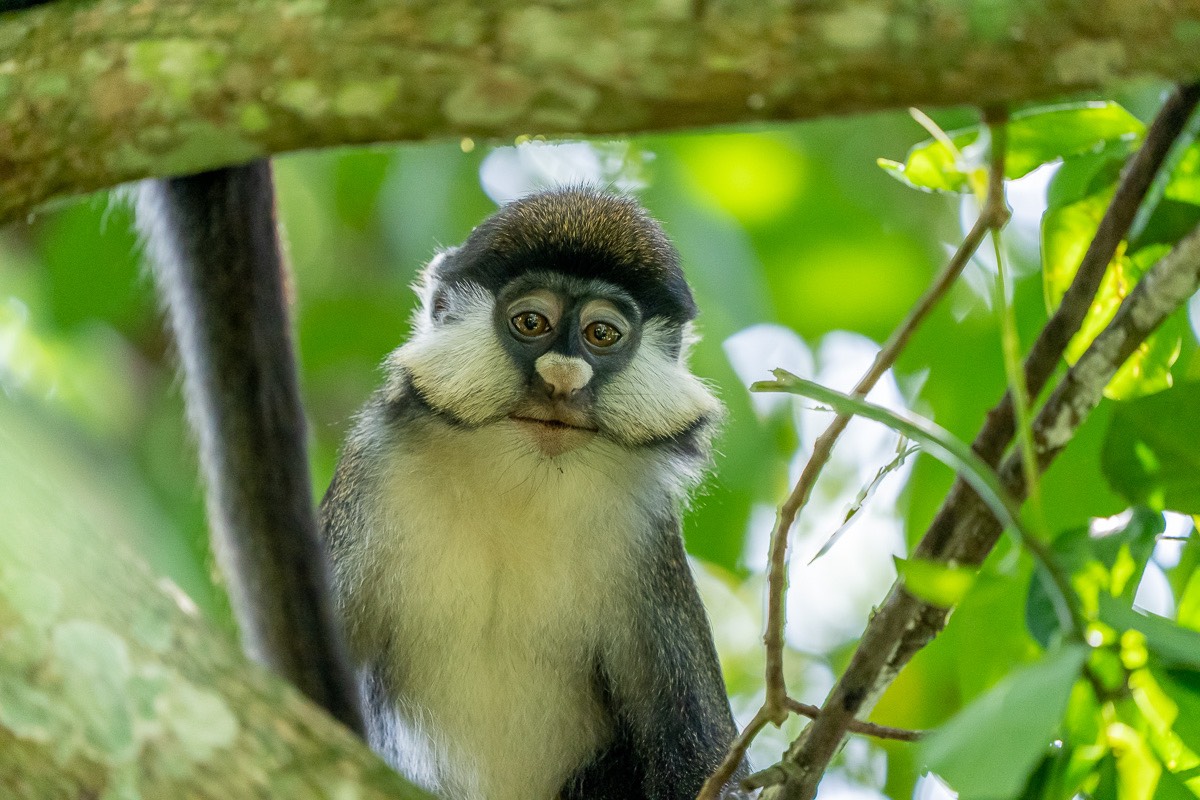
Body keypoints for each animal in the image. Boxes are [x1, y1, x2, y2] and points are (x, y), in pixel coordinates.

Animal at [324, 189, 744, 800]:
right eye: (531, 322)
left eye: (601, 334)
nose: (562, 379)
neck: (519, 493)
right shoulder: (371, 471)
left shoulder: (648, 538)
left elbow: (697, 754)